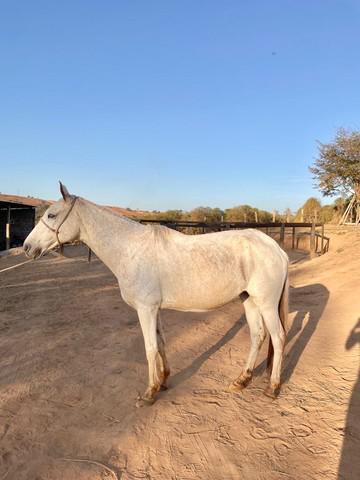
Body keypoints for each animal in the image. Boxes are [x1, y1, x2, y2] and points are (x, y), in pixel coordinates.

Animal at [23, 182, 290, 406]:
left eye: (52, 215)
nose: (27, 247)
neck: (130, 248)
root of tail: (275, 248)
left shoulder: (146, 309)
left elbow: (150, 348)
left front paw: (149, 392)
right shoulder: (155, 309)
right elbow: (161, 343)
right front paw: (163, 381)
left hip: (266, 304)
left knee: (278, 337)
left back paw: (272, 388)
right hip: (249, 301)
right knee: (257, 335)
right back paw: (242, 380)